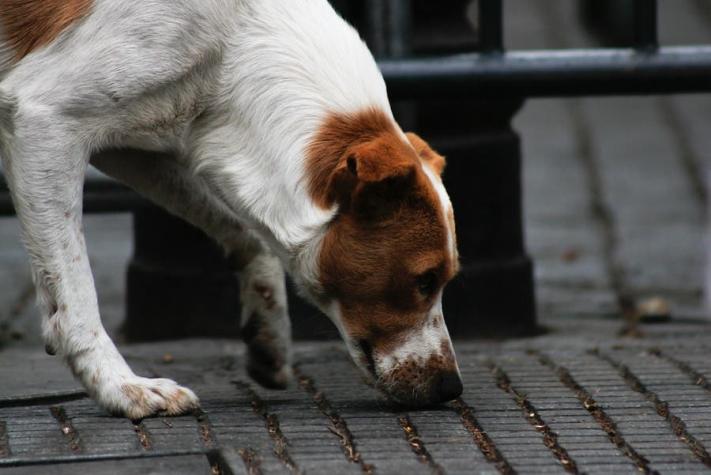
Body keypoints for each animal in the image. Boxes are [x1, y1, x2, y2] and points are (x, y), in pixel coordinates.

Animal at [0, 0, 464, 418]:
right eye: (425, 280)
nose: (451, 389)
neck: (234, 39)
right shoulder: (47, 123)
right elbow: (75, 298)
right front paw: (121, 388)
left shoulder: (132, 146)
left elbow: (247, 234)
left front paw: (269, 332)